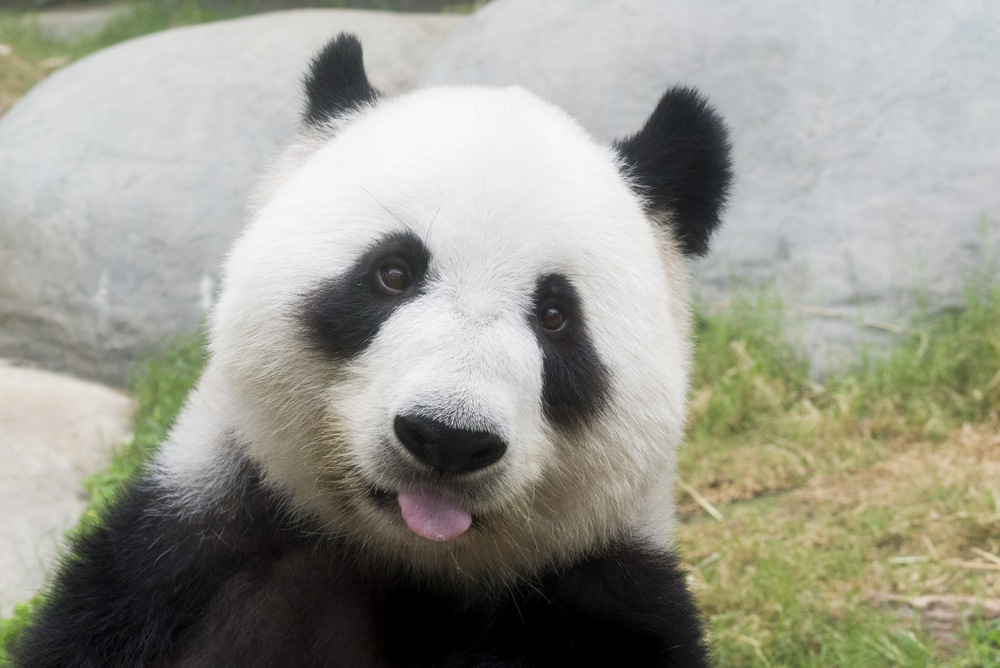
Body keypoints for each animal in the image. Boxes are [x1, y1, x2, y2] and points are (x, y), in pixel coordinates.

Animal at [13, 34, 731, 668]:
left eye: (555, 317)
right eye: (392, 273)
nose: (448, 438)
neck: (408, 563)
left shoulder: (606, 594)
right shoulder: (174, 561)